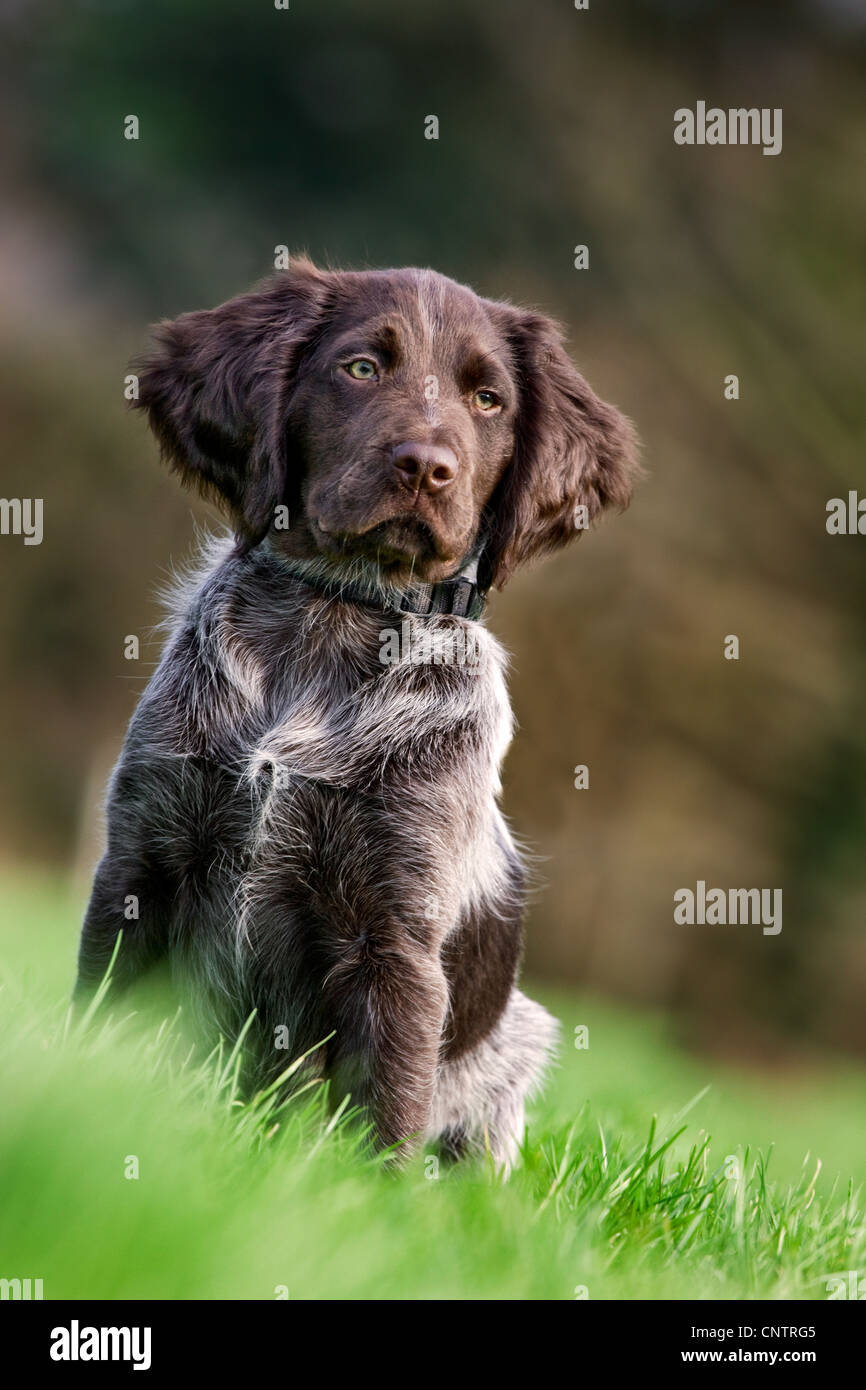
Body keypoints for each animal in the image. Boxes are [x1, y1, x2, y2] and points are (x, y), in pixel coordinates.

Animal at [76, 258, 636, 1162]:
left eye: (489, 400)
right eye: (362, 368)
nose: (426, 467)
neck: (337, 615)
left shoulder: (396, 939)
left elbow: (382, 1120)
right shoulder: (138, 867)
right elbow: (101, 1027)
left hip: (516, 1046)